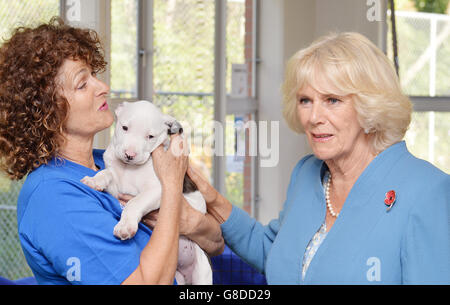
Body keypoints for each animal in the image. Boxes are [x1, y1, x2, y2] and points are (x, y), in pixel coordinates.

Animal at [81, 101, 213, 284]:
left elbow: (134, 203)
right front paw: (95, 180)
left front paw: (125, 226)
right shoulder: (116, 188)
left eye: (150, 136)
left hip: (202, 272)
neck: (129, 168)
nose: (129, 155)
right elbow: (107, 173)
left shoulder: (158, 189)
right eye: (124, 127)